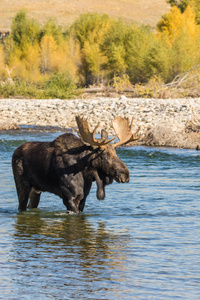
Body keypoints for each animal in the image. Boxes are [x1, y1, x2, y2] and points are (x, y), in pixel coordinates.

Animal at [11, 116, 140, 214]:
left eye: (116, 152)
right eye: (104, 154)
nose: (125, 175)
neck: (86, 172)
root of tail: (15, 152)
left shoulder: (83, 197)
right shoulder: (69, 197)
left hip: (36, 189)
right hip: (22, 186)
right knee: (21, 206)